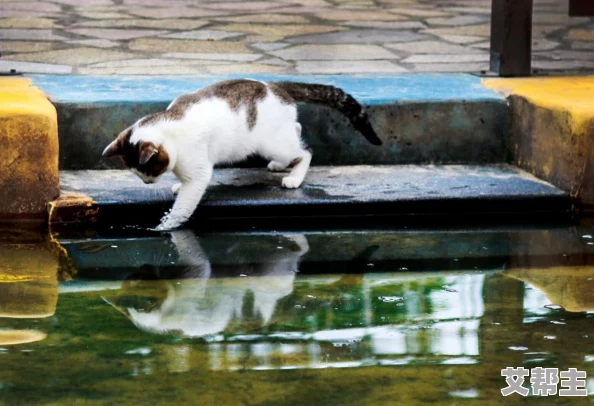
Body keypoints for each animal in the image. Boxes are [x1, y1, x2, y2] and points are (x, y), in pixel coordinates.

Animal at [101, 80, 380, 232]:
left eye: (148, 171)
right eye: (138, 174)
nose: (147, 182)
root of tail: (275, 86)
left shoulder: (198, 171)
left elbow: (183, 207)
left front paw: (166, 227)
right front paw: (178, 186)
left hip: (271, 143)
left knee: (305, 151)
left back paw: (294, 177)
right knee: (297, 129)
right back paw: (280, 165)